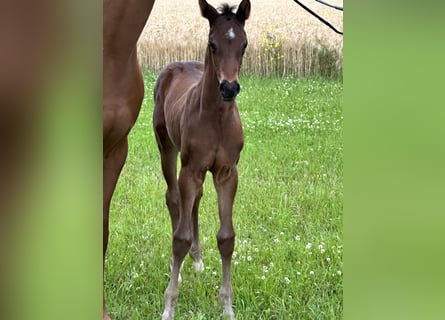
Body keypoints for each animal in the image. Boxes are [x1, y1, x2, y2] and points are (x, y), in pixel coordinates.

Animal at [153, 1, 250, 318]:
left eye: (244, 44)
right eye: (212, 44)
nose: (229, 88)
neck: (216, 118)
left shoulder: (226, 172)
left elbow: (227, 237)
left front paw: (228, 306)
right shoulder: (191, 169)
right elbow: (179, 237)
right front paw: (169, 306)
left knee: (194, 202)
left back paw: (196, 260)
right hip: (167, 148)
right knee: (174, 199)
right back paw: (180, 266)